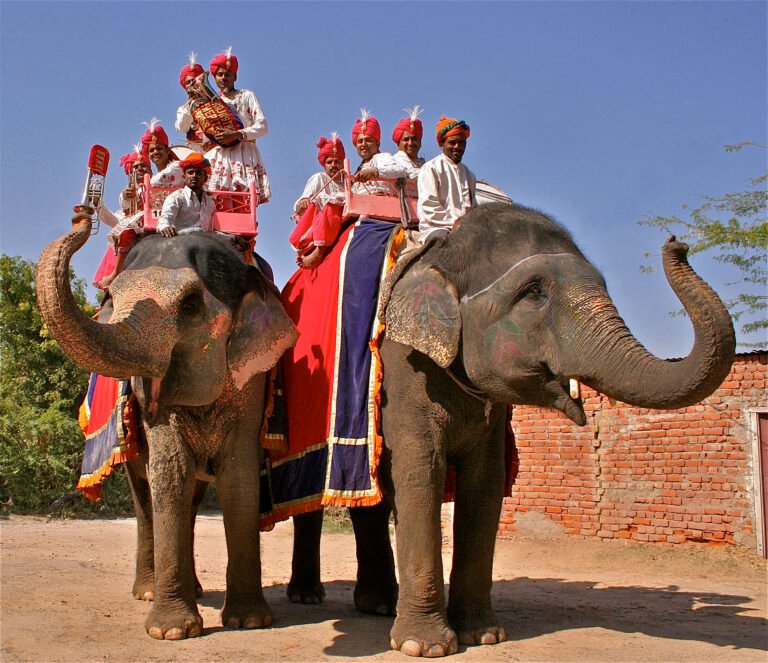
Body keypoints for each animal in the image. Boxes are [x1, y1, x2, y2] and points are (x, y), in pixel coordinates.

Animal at [36, 216, 298, 640]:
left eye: (190, 304)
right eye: (112, 298)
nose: (82, 217)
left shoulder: (252, 378)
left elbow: (238, 476)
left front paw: (250, 622)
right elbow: (170, 470)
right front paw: (171, 632)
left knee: (190, 499)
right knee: (145, 497)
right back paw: (147, 592)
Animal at [361, 202, 734, 656]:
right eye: (534, 292)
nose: (676, 243)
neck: (440, 251)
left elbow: (484, 485)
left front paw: (484, 636)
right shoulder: (403, 369)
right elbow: (419, 476)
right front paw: (424, 647)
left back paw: (379, 606)